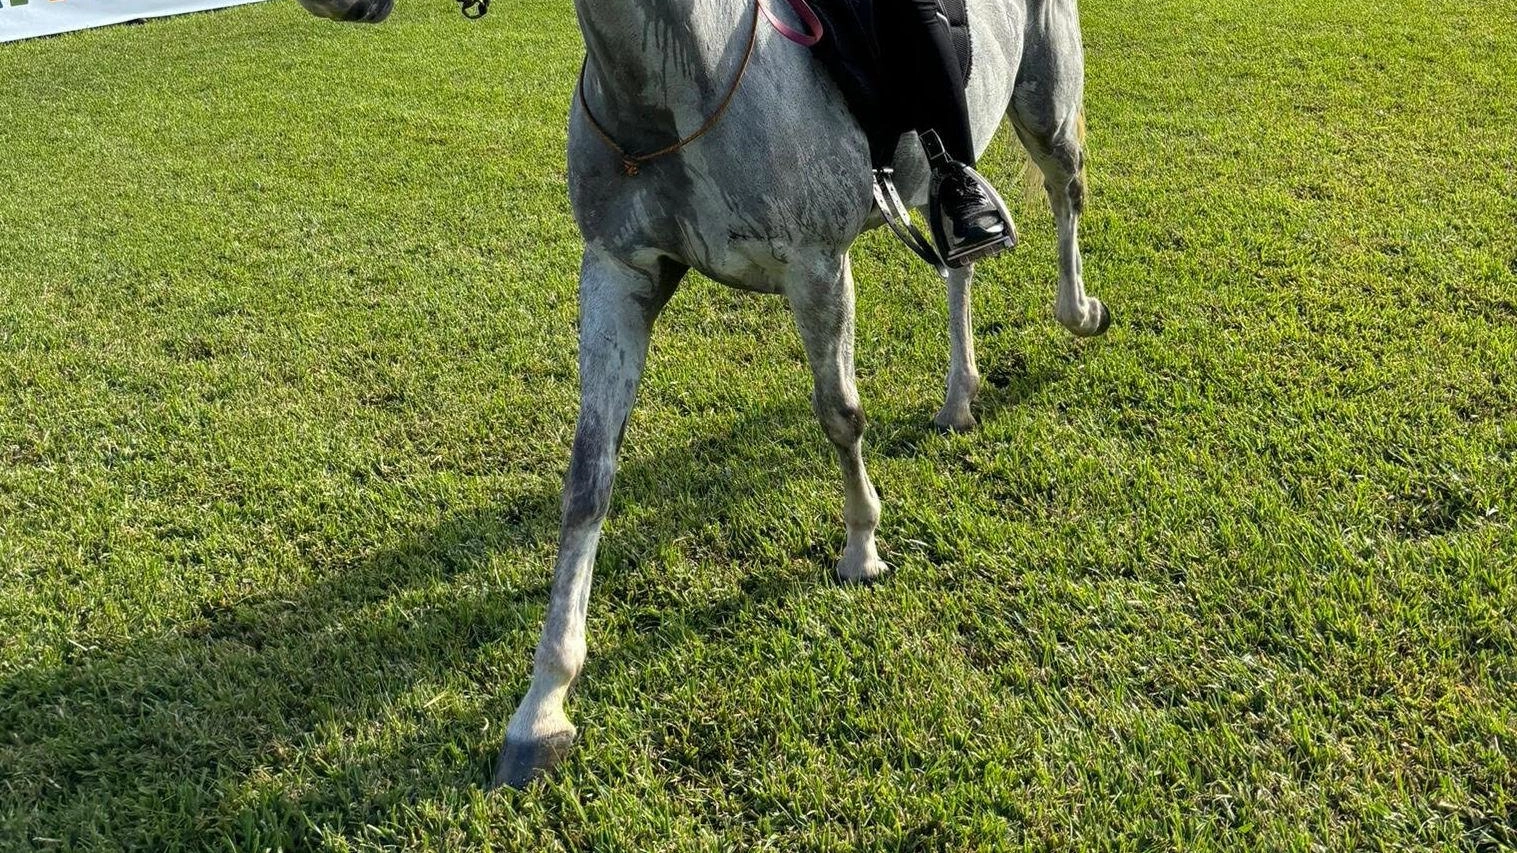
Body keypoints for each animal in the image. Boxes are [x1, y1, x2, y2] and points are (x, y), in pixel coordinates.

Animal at [289, 0, 1110, 789]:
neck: (680, 77)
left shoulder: (815, 267)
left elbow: (839, 415)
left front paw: (860, 548)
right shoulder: (617, 273)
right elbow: (587, 483)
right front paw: (541, 707)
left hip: (1045, 108)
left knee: (1062, 196)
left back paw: (1080, 312)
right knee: (958, 265)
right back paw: (957, 396)